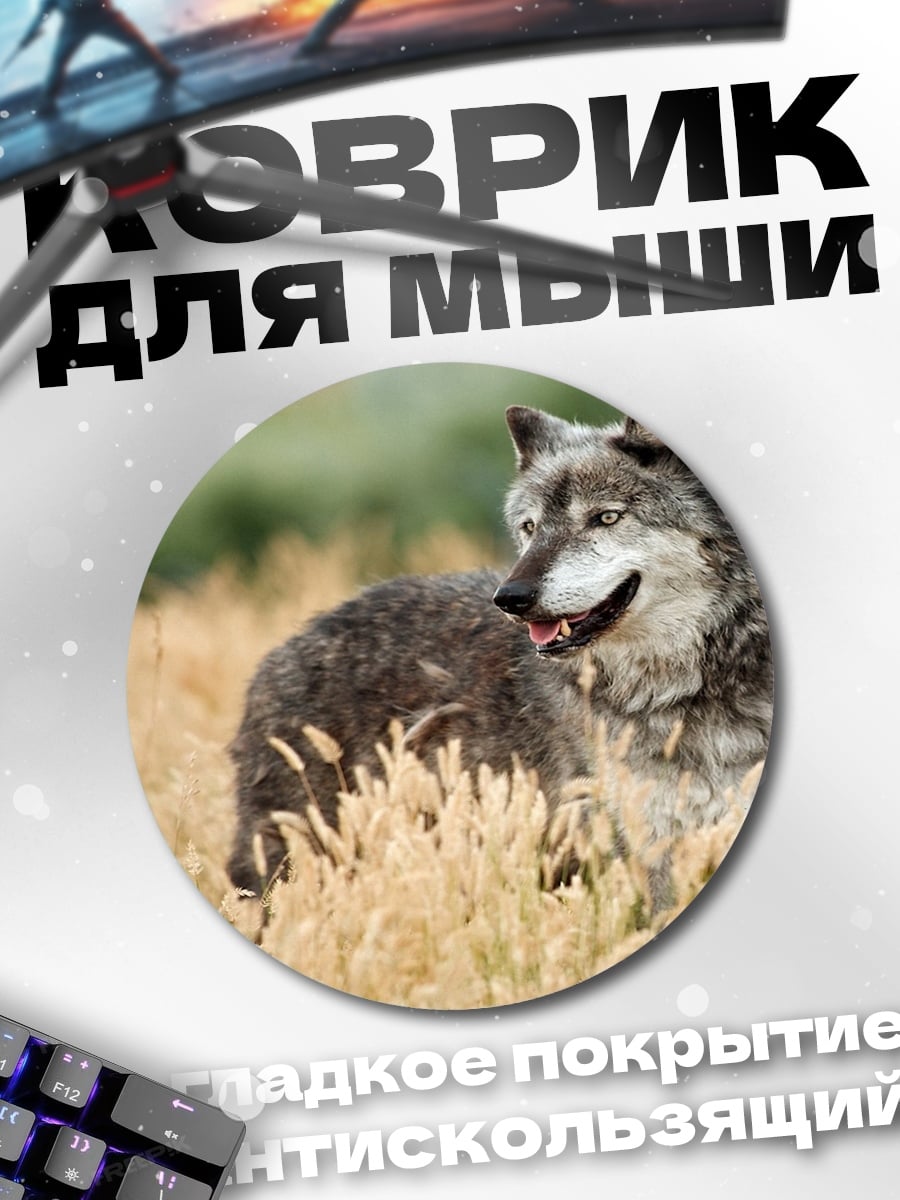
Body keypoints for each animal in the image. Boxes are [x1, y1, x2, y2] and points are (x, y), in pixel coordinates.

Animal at [227, 406, 773, 896]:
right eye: (530, 527)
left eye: (607, 517)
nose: (511, 597)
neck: (682, 690)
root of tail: (281, 652)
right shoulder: (644, 851)